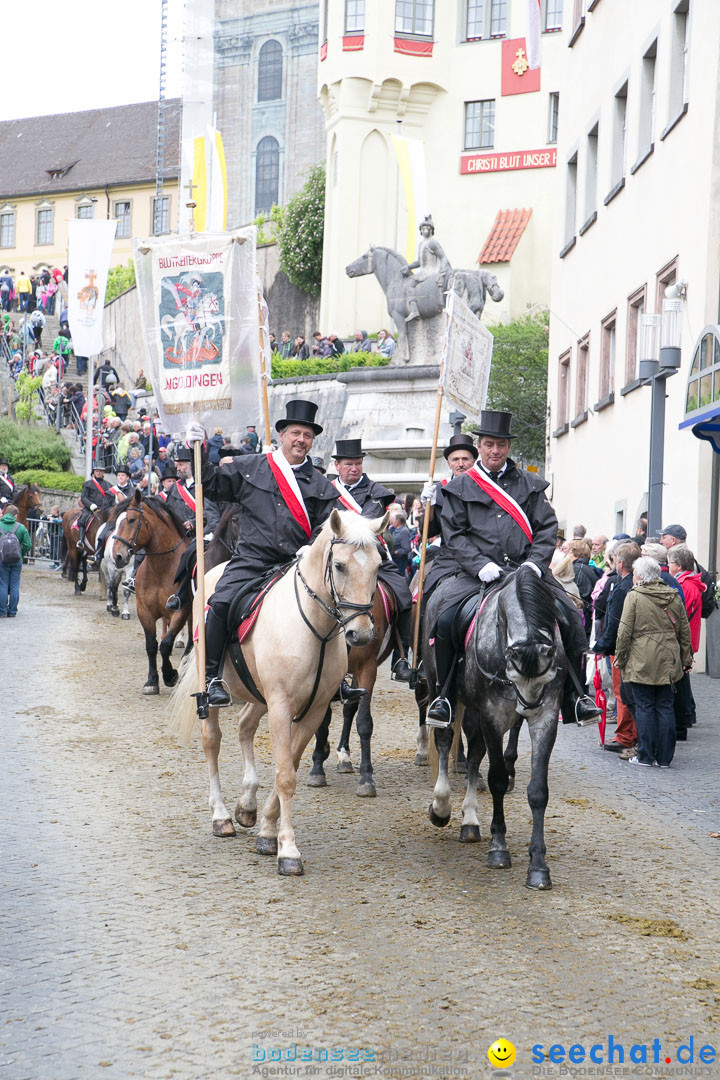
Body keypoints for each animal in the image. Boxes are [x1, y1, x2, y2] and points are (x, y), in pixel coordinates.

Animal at [171, 507, 388, 876]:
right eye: (340, 565)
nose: (359, 634)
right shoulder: (282, 706)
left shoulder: (313, 709)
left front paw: (268, 831)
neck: (316, 629)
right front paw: (287, 849)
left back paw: (246, 805)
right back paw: (221, 816)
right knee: (212, 740)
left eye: (376, 566)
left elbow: (290, 767)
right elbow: (286, 775)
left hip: (258, 695)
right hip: (216, 690)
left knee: (244, 725)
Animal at [308, 583, 397, 803]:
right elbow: (322, 721)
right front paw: (317, 768)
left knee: (350, 708)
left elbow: (364, 722)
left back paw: (344, 756)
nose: (361, 634)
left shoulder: (367, 669)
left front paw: (366, 779)